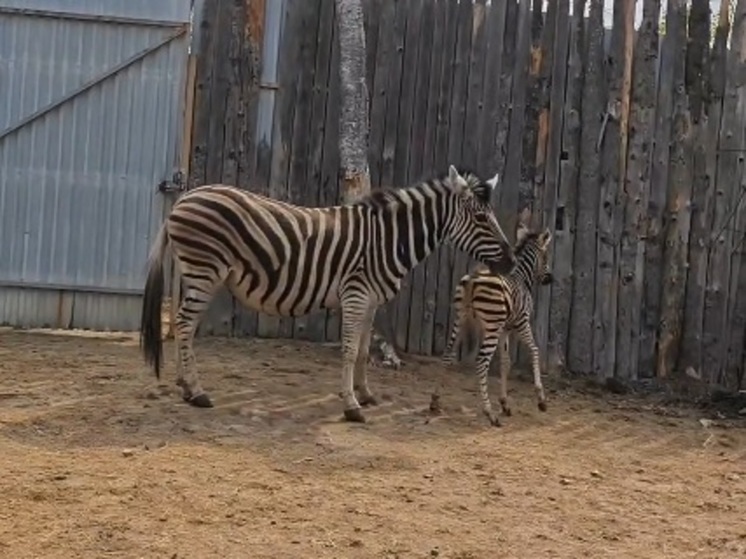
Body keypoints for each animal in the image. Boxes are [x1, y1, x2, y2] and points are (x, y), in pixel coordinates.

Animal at [138, 166, 512, 424]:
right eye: (481, 219)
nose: (509, 262)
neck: (388, 240)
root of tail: (184, 198)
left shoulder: (371, 299)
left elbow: (363, 350)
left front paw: (365, 393)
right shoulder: (356, 294)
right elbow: (348, 350)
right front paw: (352, 406)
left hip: (195, 273)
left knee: (185, 326)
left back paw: (185, 385)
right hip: (205, 271)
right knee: (184, 325)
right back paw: (197, 391)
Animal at [442, 225, 552, 426]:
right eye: (546, 256)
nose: (550, 279)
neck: (522, 278)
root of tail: (473, 278)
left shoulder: (505, 329)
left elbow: (505, 362)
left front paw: (505, 404)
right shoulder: (521, 323)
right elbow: (534, 350)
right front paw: (541, 399)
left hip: (460, 319)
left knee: (447, 354)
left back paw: (436, 400)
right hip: (490, 328)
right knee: (481, 362)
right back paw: (490, 414)